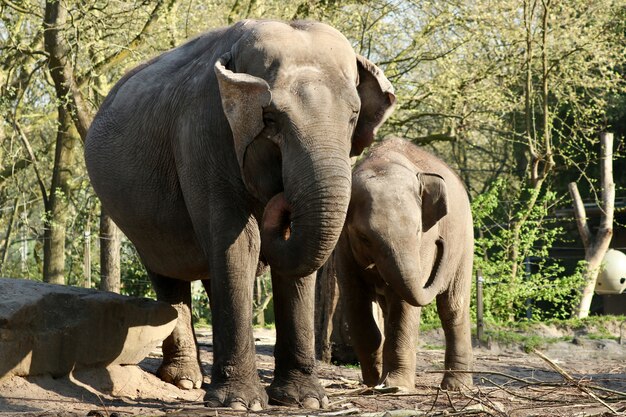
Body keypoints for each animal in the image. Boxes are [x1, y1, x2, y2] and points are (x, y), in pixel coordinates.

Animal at [83, 19, 394, 410]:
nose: (281, 202)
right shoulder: (204, 133)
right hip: (137, 219)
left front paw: (304, 401)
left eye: (353, 116)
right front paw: (240, 403)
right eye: (270, 118)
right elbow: (239, 243)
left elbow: (295, 266)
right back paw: (184, 381)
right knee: (168, 271)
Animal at [332, 136, 472, 390]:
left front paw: (395, 387)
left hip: (465, 240)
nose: (440, 241)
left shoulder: (424, 244)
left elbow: (404, 307)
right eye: (364, 237)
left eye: (417, 230)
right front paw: (373, 382)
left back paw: (456, 387)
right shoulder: (343, 245)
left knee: (452, 307)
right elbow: (355, 300)